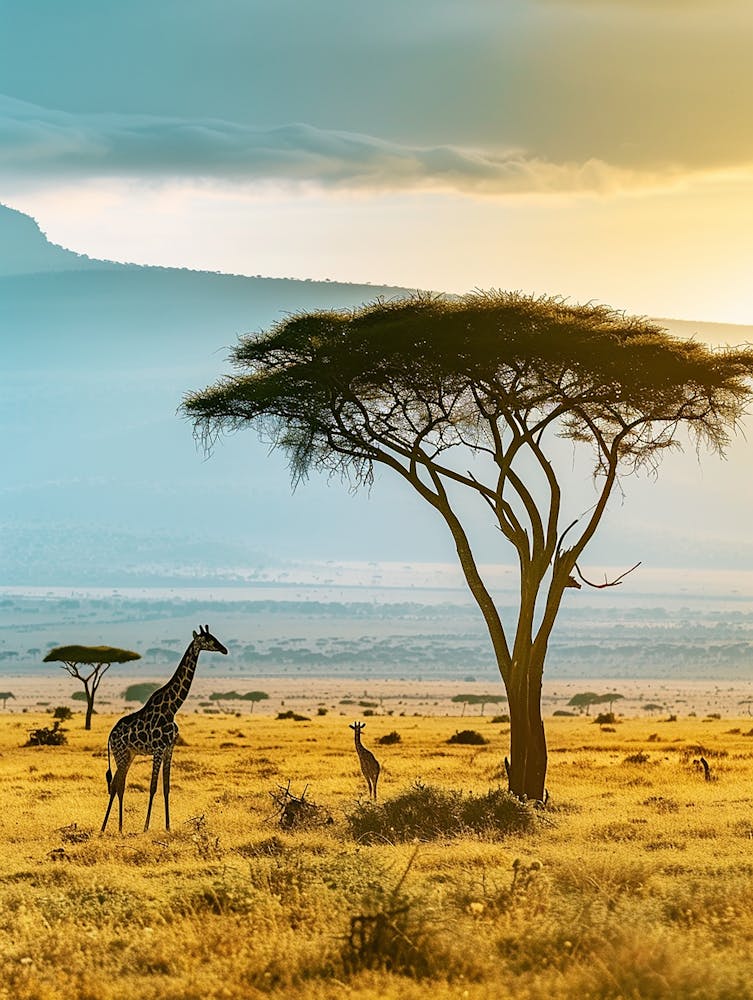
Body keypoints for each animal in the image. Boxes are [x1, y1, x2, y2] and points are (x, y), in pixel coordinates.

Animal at [100, 625, 227, 834]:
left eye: (214, 637)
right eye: (208, 640)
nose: (224, 650)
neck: (172, 708)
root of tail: (110, 734)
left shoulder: (170, 748)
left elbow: (166, 787)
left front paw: (168, 826)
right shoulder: (158, 749)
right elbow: (153, 787)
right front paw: (145, 827)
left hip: (129, 755)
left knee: (118, 784)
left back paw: (117, 827)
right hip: (121, 754)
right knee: (117, 785)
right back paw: (108, 827)